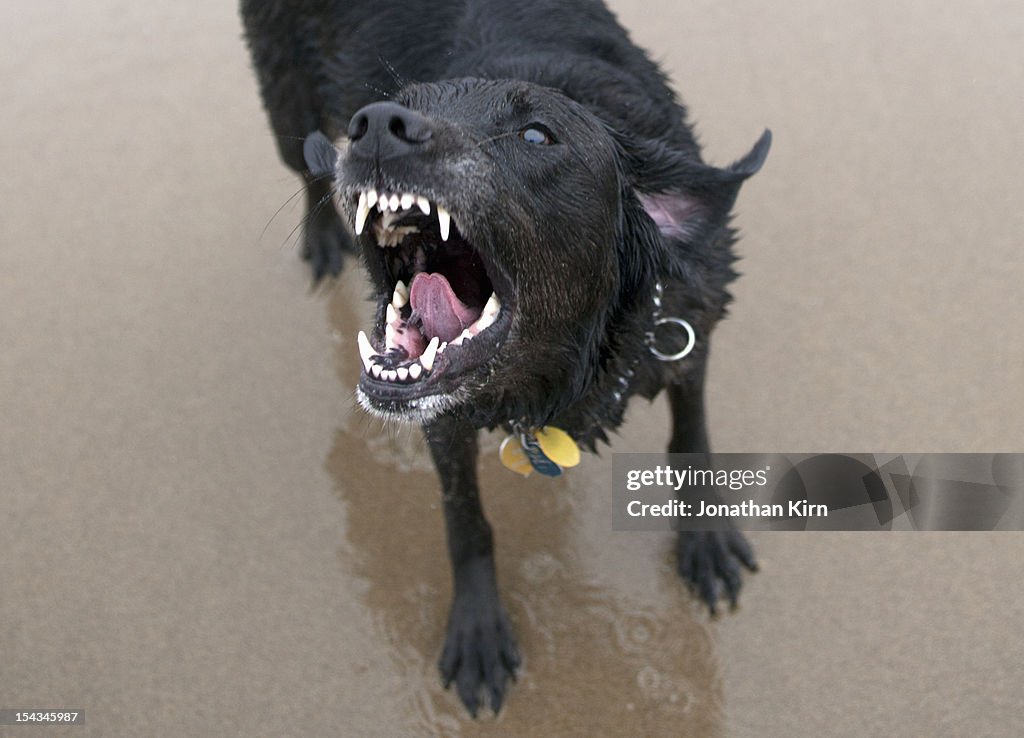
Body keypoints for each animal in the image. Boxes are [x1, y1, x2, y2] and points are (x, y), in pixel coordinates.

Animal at [239, 0, 770, 712]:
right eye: (398, 102)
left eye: (538, 135)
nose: (375, 127)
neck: (557, 373)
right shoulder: (443, 420)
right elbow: (465, 520)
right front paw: (478, 630)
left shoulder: (691, 325)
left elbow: (693, 439)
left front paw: (706, 543)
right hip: (283, 93)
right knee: (304, 164)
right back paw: (323, 240)